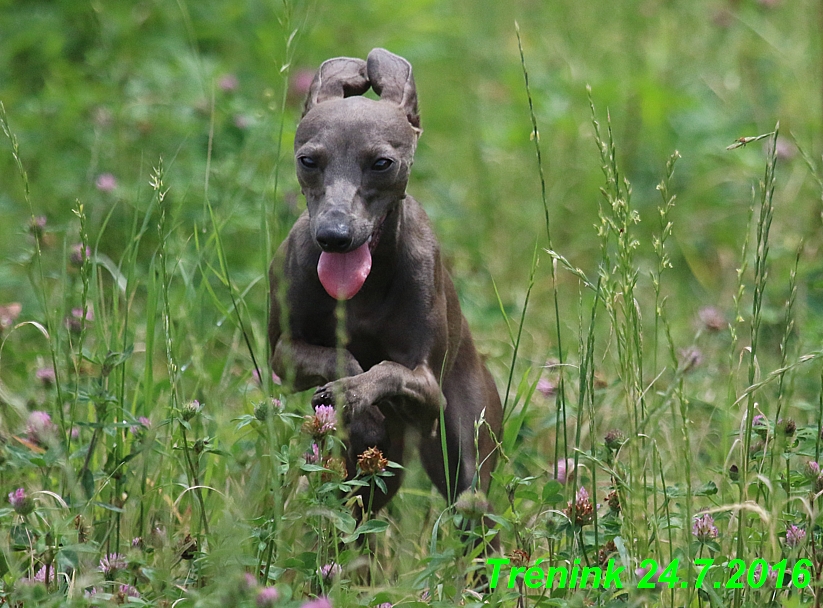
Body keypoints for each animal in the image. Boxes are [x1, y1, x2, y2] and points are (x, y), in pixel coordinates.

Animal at [270, 50, 502, 520]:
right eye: (308, 160)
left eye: (382, 163)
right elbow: (341, 357)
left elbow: (391, 369)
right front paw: (352, 396)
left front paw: (357, 391)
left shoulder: (429, 391)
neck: (362, 292)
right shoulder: (281, 356)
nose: (334, 236)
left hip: (465, 455)